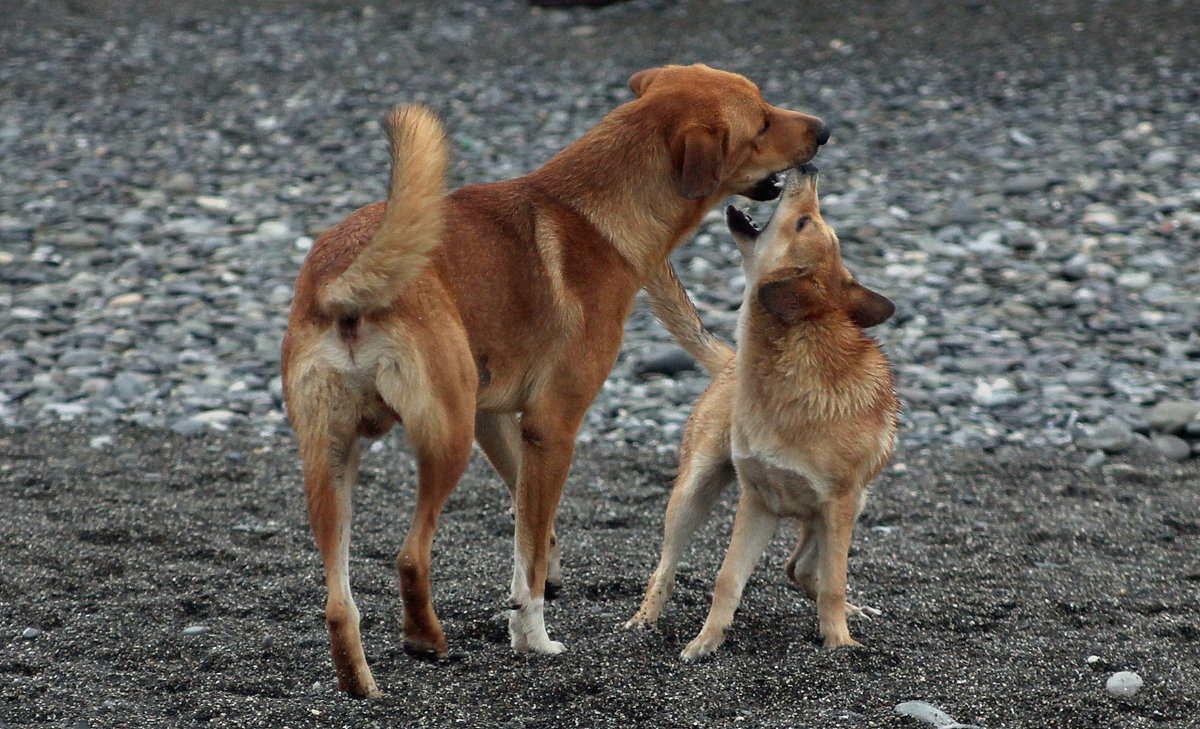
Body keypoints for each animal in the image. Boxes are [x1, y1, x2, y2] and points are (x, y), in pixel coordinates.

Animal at [282, 64, 830, 695]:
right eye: (762, 122)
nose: (824, 131)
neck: (595, 214)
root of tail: (346, 281)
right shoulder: (554, 425)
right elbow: (530, 557)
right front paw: (535, 639)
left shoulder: (494, 418)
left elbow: (531, 530)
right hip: (443, 444)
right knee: (410, 557)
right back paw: (427, 641)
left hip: (331, 460)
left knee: (338, 601)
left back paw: (360, 682)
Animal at [628, 165, 902, 661]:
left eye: (804, 223)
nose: (810, 169)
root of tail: (730, 360)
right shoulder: (757, 502)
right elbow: (726, 579)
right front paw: (706, 641)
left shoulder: (838, 504)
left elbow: (833, 584)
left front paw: (840, 643)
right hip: (692, 492)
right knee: (666, 566)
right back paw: (643, 620)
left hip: (849, 508)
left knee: (804, 570)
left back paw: (851, 613)